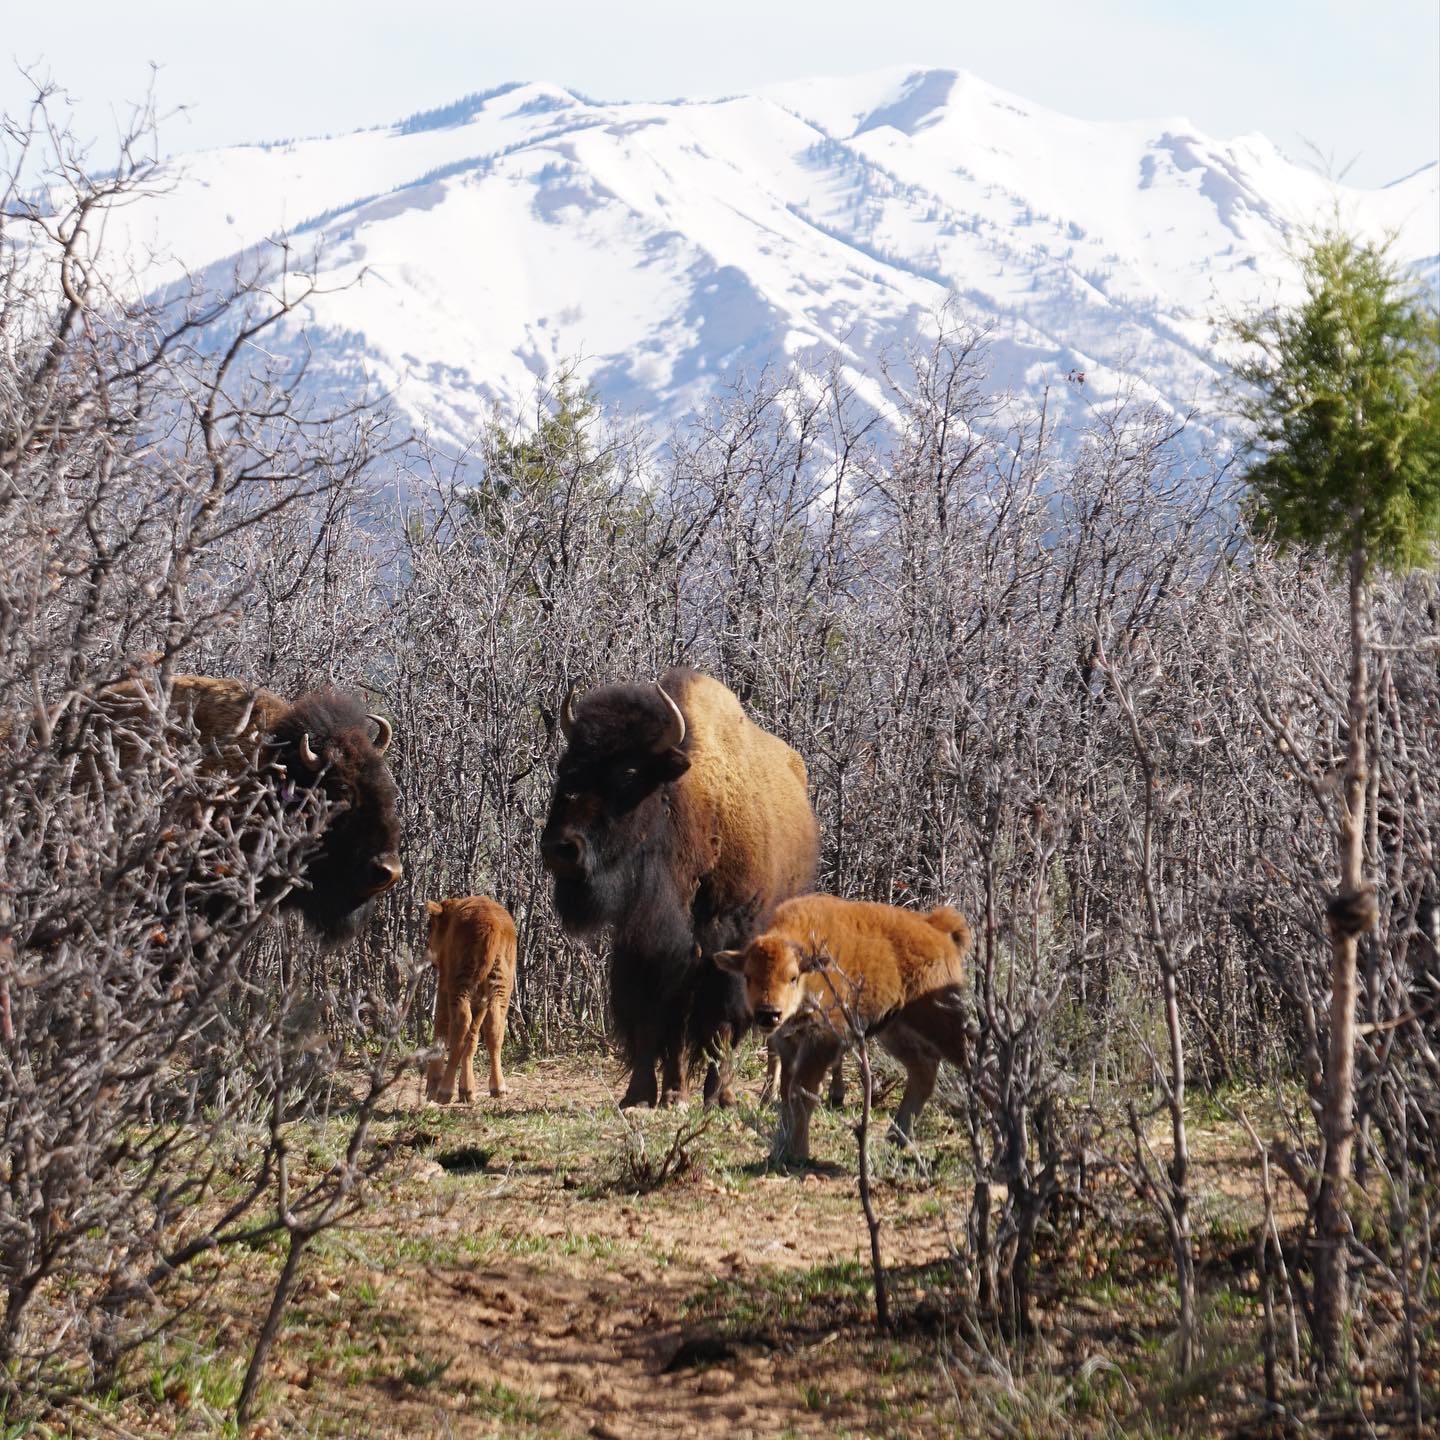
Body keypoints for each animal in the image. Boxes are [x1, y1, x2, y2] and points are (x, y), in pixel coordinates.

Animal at [540, 667, 818, 1107]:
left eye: (628, 773)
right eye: (566, 768)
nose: (560, 848)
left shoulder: (726, 936)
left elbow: (720, 1020)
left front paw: (718, 1096)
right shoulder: (648, 942)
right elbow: (653, 1016)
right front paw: (646, 1095)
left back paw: (761, 1093)